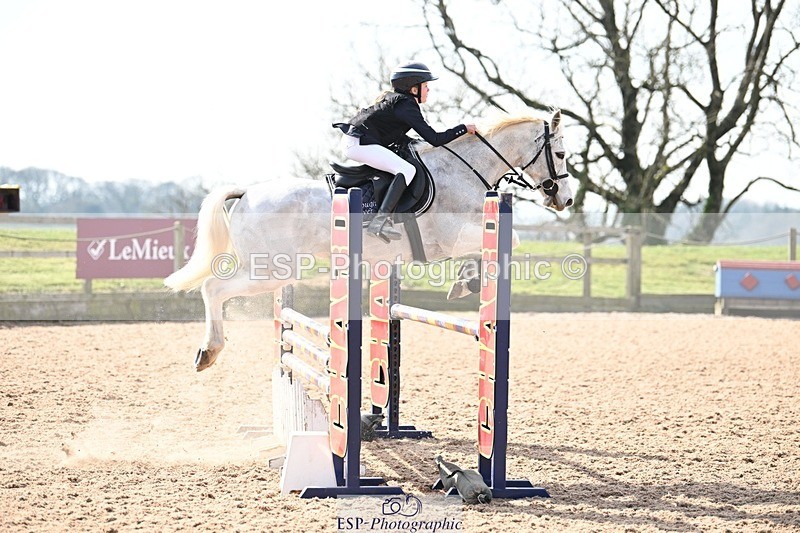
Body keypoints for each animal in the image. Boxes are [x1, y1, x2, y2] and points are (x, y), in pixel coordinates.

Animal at [165, 109, 574, 372]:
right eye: (560, 153)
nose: (566, 200)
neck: (462, 169)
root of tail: (247, 193)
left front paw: (464, 282)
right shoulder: (452, 238)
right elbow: (511, 240)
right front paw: (467, 283)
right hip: (270, 271)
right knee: (213, 289)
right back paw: (208, 352)